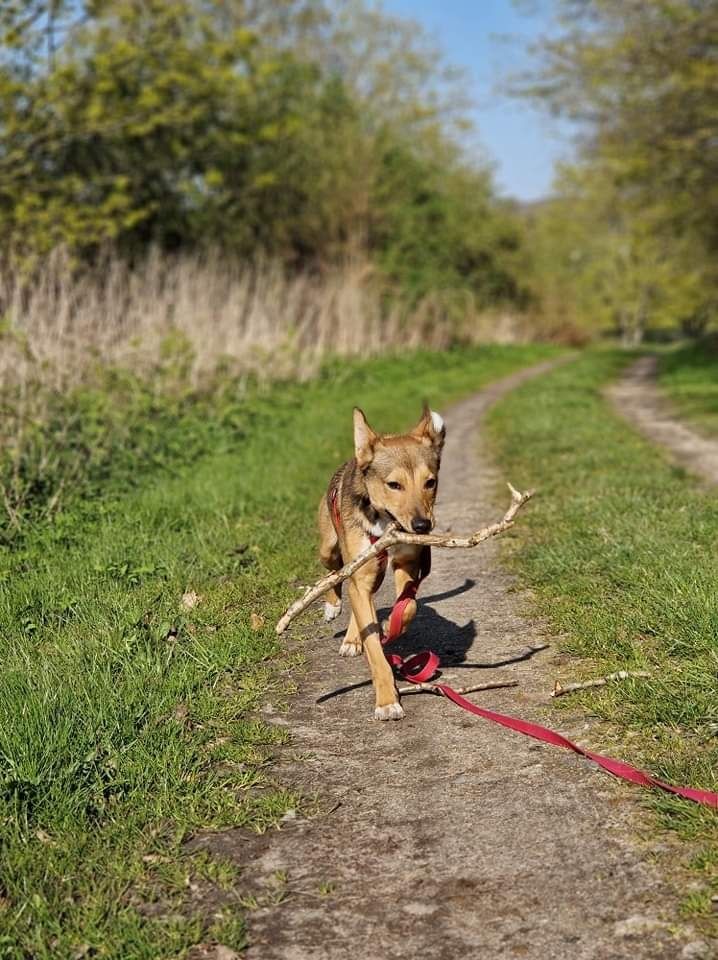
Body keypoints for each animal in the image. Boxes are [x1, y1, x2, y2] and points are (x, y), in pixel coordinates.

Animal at [320, 404, 444, 720]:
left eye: (430, 482)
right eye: (393, 484)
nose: (422, 526)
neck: (385, 524)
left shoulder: (407, 562)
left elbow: (408, 605)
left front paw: (391, 626)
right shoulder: (360, 570)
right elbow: (375, 651)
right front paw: (387, 701)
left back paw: (355, 636)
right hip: (330, 546)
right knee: (335, 572)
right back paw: (334, 606)